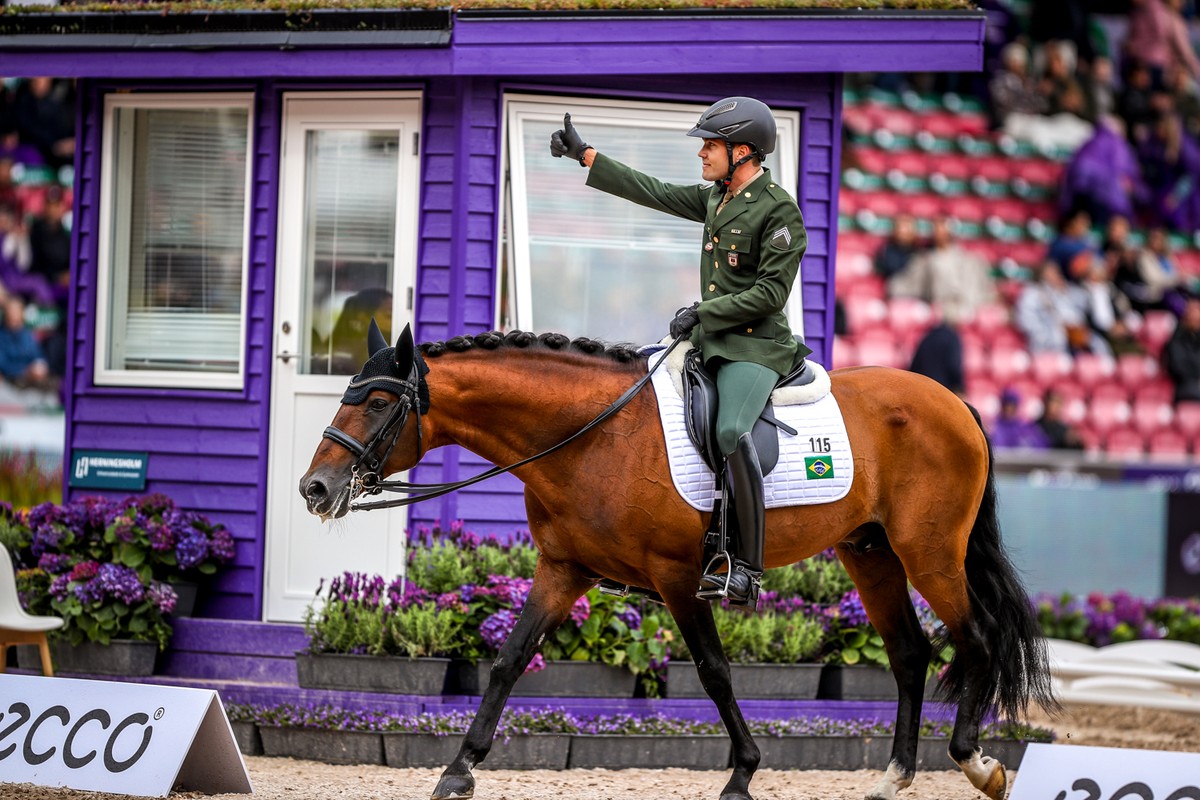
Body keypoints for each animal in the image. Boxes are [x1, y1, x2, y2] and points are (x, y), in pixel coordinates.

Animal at [302, 323, 1060, 800]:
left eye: (377, 400)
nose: (315, 489)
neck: (592, 436)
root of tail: (954, 401)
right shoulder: (563, 570)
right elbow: (509, 661)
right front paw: (458, 771)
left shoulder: (677, 578)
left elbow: (716, 673)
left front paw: (742, 775)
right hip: (869, 552)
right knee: (908, 653)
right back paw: (894, 777)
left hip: (930, 554)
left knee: (976, 637)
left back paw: (977, 765)